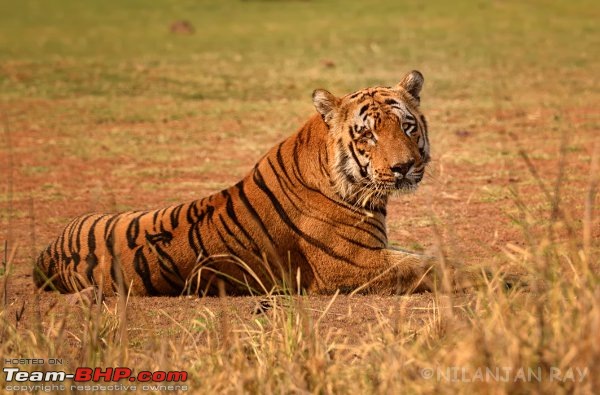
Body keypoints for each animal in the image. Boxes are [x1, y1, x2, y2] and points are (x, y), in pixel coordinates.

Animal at [34, 70, 460, 296]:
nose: (404, 167)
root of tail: (45, 256)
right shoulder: (355, 265)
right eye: (368, 135)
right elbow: (437, 266)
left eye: (406, 126)